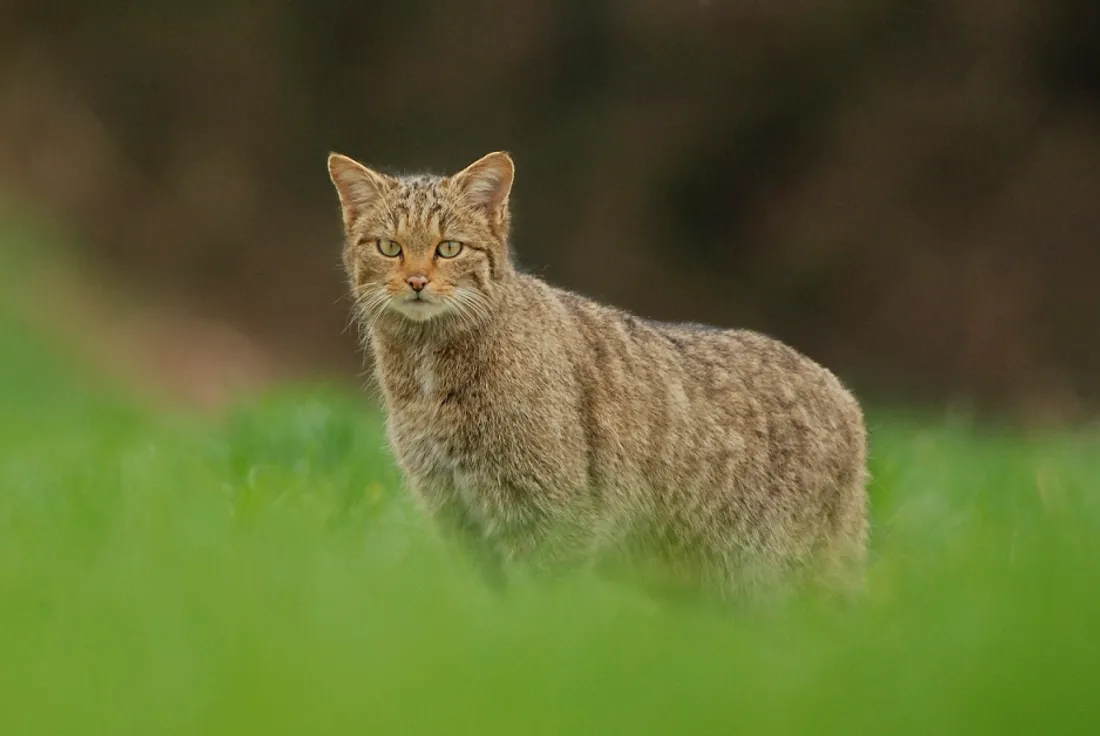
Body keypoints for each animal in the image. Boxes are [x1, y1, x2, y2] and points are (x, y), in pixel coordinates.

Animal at [325, 150, 866, 602]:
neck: (427, 368)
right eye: (389, 247)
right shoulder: (454, 511)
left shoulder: (550, 511)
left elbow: (545, 602)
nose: (416, 281)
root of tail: (846, 397)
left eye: (449, 248)